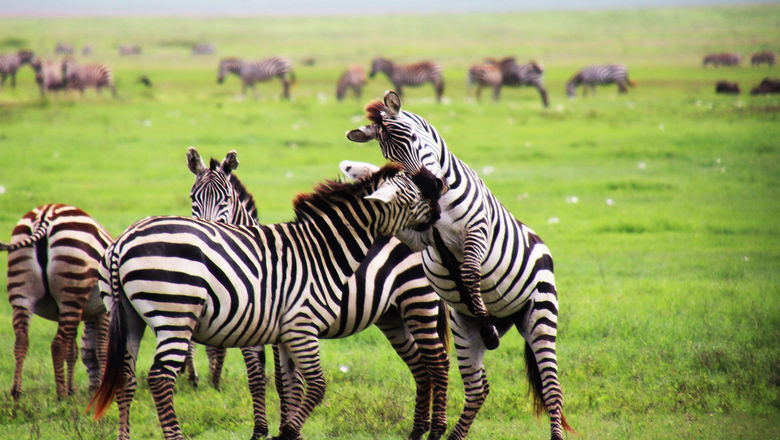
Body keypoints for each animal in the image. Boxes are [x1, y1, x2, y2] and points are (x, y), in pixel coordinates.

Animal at [2, 204, 112, 399]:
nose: (93, 389)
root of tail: (46, 214)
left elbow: (74, 350)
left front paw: (73, 389)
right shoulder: (102, 312)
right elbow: (100, 349)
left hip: (22, 292)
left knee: (21, 341)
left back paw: (17, 392)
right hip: (72, 286)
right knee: (57, 345)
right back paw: (61, 394)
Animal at [88, 163, 449, 440]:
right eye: (413, 195)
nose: (439, 210)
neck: (323, 250)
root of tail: (122, 241)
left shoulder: (286, 332)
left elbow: (289, 384)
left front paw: (287, 430)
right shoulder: (301, 326)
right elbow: (314, 385)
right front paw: (283, 432)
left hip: (130, 317)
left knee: (126, 376)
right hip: (174, 316)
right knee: (160, 378)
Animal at [347, 91, 575, 440]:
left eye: (413, 138)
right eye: (390, 156)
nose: (429, 187)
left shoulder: (477, 231)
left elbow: (468, 273)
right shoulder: (422, 238)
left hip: (541, 314)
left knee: (552, 389)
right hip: (464, 329)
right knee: (478, 390)